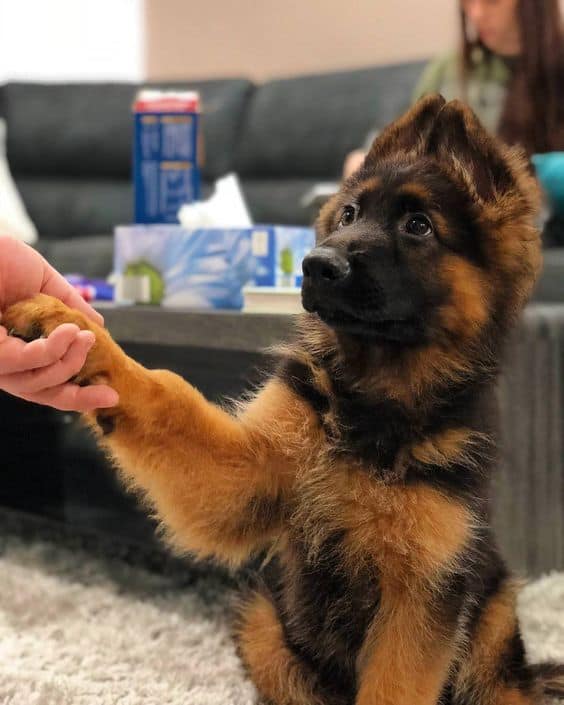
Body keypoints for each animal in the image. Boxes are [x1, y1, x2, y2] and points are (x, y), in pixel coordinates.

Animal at [4, 95, 564, 704]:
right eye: (348, 215)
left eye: (419, 226)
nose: (315, 264)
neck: (372, 401)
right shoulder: (242, 478)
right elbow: (165, 391)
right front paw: (71, 326)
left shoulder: (420, 599)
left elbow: (392, 688)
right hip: (261, 619)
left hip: (494, 622)